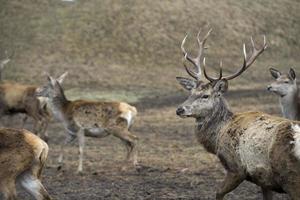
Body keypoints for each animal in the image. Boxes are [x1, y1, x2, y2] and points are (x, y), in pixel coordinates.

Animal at [176, 28, 300, 199]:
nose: (180, 109)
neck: (217, 139)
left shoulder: (236, 168)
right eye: (190, 93)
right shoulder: (264, 180)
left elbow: (218, 193)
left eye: (205, 95)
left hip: (290, 177)